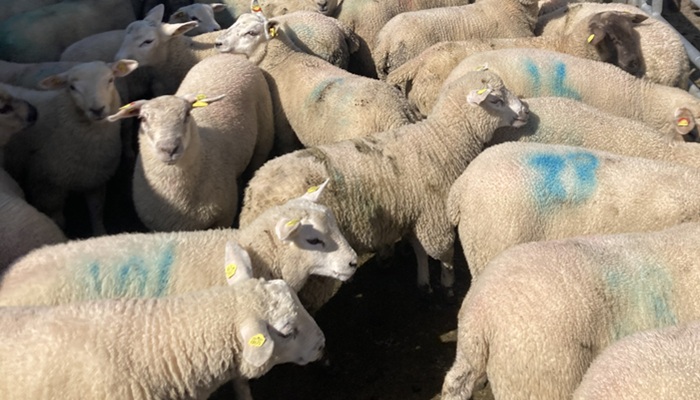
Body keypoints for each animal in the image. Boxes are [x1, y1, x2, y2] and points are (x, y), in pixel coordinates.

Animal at [2, 59, 138, 236]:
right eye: (72, 87)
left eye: (110, 80)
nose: (97, 110)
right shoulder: (47, 185)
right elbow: (59, 221)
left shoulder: (95, 179)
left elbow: (96, 212)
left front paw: (100, 233)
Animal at [106, 53, 274, 232]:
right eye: (143, 118)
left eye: (187, 113)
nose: (169, 148)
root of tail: (227, 56)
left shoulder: (224, 216)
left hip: (264, 133)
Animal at [237, 70, 528, 304]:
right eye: (496, 100)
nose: (525, 111)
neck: (443, 140)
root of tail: (254, 194)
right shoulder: (436, 215)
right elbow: (443, 254)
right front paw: (447, 285)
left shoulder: (416, 211)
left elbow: (419, 249)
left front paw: (423, 282)